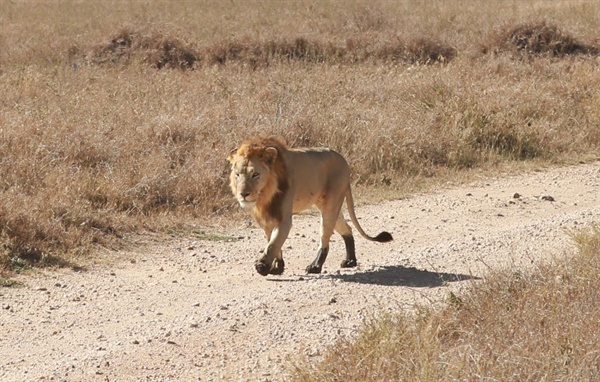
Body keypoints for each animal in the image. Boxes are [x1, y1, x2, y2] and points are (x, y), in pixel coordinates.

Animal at [226, 136, 394, 276]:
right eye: (237, 174)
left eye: (255, 174)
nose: (243, 194)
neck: (264, 195)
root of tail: (343, 160)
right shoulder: (267, 219)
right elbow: (273, 243)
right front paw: (277, 267)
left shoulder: (284, 218)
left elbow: (273, 244)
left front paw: (262, 266)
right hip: (328, 204)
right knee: (347, 228)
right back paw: (350, 261)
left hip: (331, 204)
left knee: (325, 238)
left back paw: (315, 266)